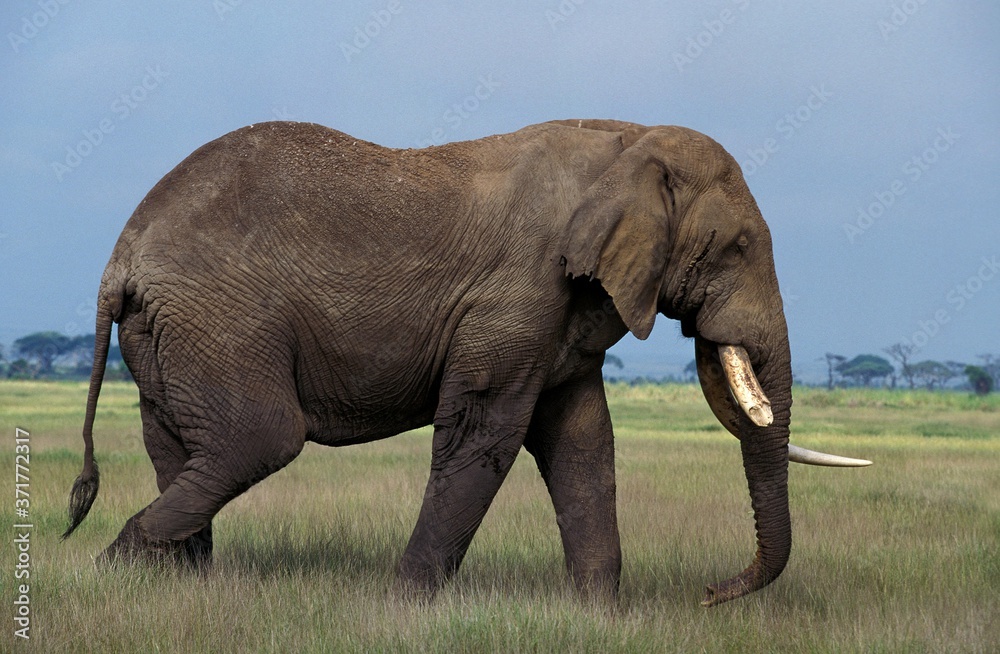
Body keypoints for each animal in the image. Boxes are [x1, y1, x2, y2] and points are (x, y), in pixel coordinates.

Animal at [64, 118, 870, 606]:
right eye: (736, 248)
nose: (709, 594)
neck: (628, 140)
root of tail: (120, 256)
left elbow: (583, 441)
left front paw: (599, 614)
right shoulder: (517, 294)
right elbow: (487, 434)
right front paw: (405, 606)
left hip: (172, 332)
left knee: (179, 445)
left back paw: (179, 585)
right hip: (221, 319)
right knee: (258, 439)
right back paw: (112, 572)